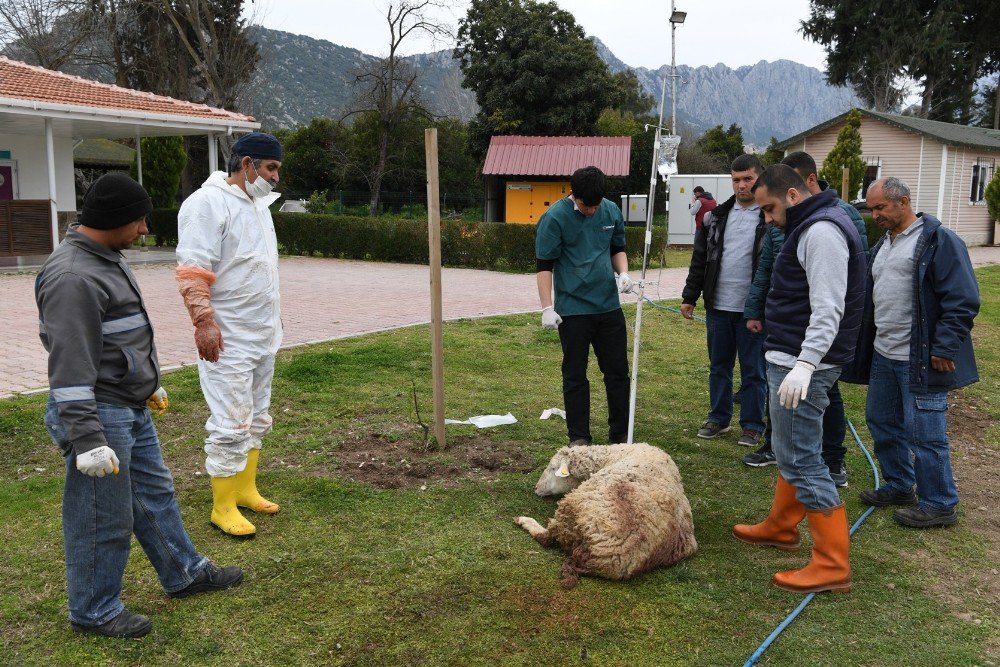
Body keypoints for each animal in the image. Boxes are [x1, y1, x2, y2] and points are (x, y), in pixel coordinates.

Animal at [516, 444, 696, 588]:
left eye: (553, 468)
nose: (536, 488)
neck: (612, 455)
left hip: (572, 509)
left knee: (547, 537)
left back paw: (524, 520)